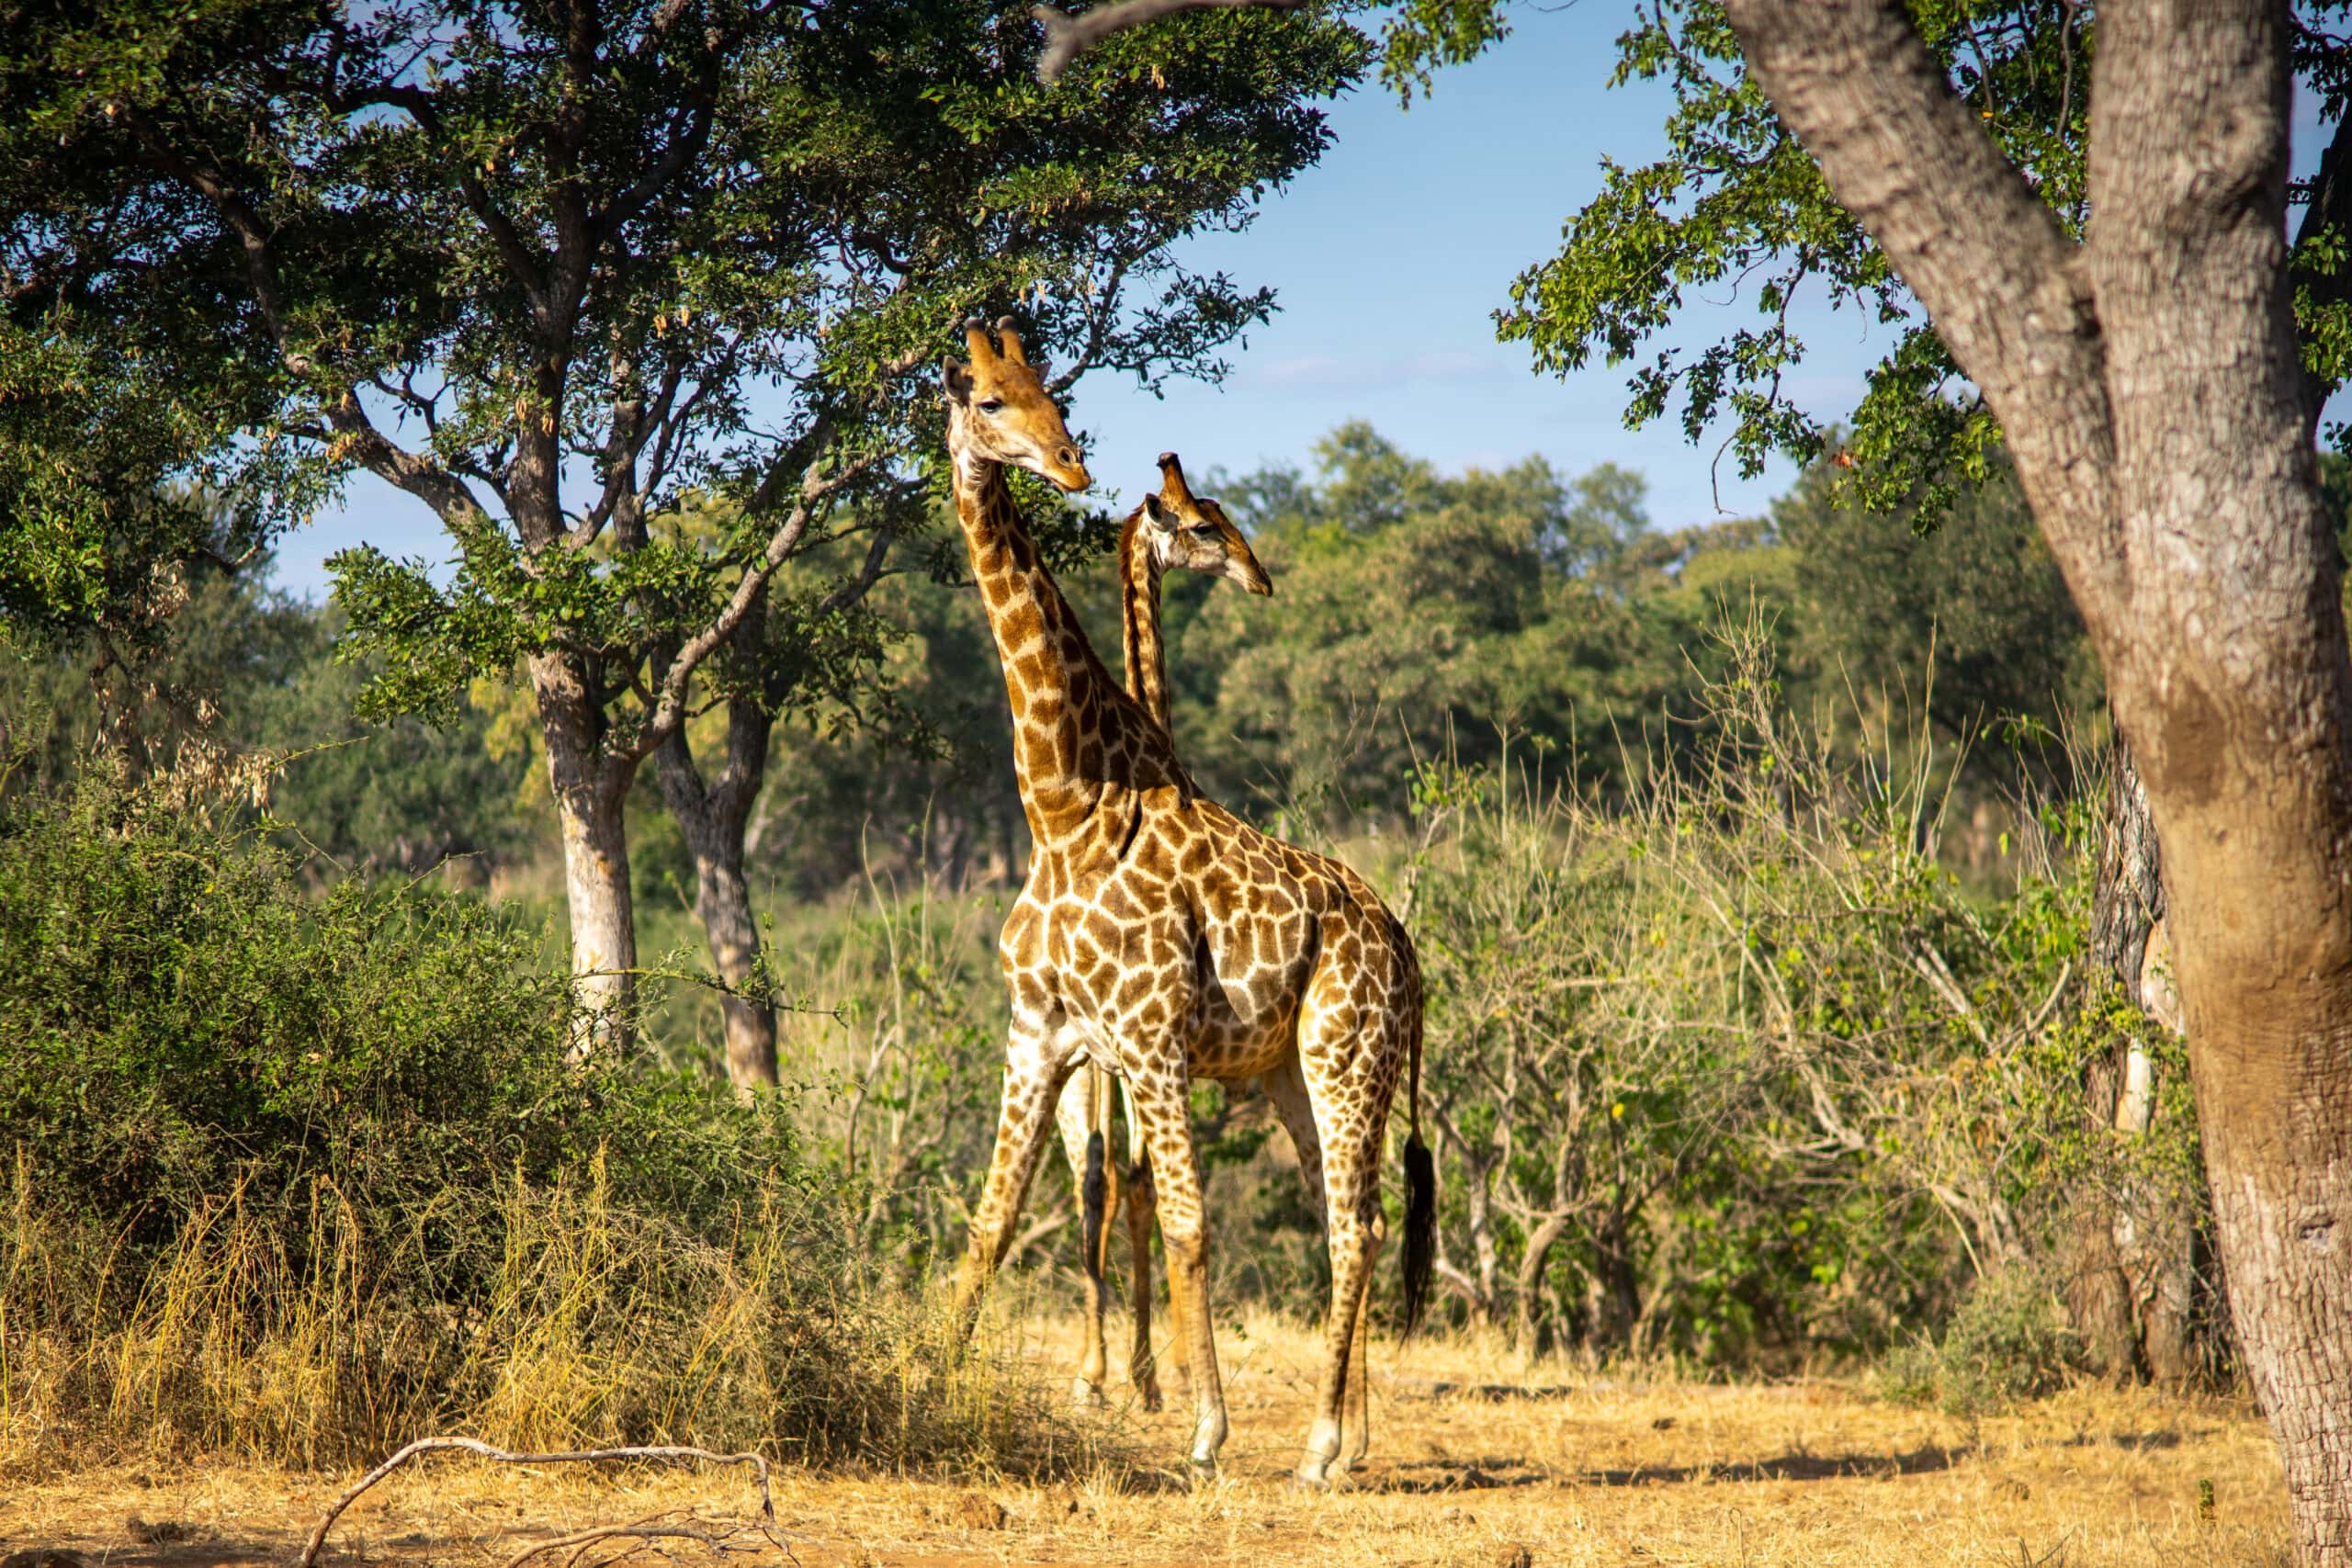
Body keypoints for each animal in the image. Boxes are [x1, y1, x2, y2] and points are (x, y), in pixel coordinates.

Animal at [939, 318, 1435, 1487]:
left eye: (1052, 391)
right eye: (988, 397)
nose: (1069, 464)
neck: (1066, 806)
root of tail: (1404, 950)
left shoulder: (1148, 1038)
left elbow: (1184, 1228)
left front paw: (1203, 1431)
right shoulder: (1041, 1033)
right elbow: (994, 1223)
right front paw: (922, 1387)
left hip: (1345, 1053)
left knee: (1353, 1227)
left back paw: (1320, 1448)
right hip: (1295, 1069)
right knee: (1350, 1220)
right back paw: (1334, 1439)